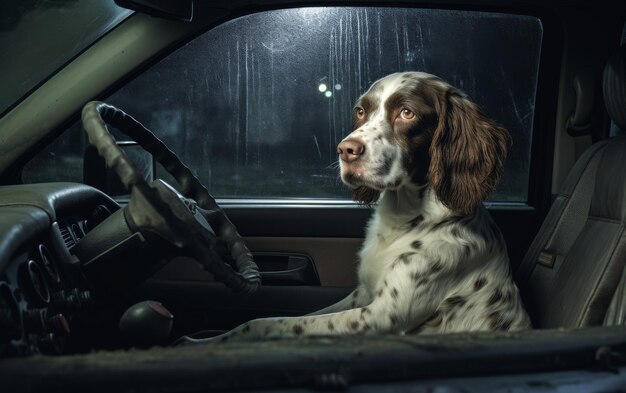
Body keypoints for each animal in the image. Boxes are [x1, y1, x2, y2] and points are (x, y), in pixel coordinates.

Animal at [184, 72, 528, 342]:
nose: (345, 150)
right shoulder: (362, 295)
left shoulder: (379, 317)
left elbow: (261, 324)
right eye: (361, 111)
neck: (408, 218)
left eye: (407, 113)